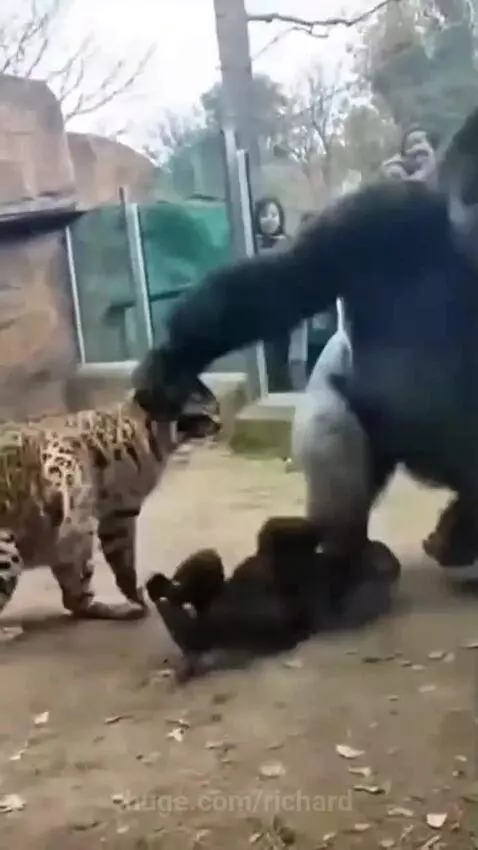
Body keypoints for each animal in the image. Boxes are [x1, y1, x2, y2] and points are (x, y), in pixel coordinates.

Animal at [0, 377, 220, 626]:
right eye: (204, 408)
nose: (219, 423)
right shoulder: (112, 511)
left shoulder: (114, 516)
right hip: (12, 548)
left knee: (75, 599)